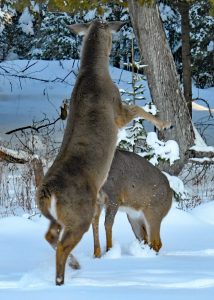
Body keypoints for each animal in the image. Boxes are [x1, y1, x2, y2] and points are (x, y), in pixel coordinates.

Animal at [36, 19, 171, 284]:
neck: (92, 73)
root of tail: (47, 190)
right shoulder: (117, 110)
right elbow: (139, 108)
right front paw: (164, 124)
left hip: (60, 216)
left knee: (50, 236)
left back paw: (75, 266)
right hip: (80, 212)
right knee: (62, 244)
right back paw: (62, 279)